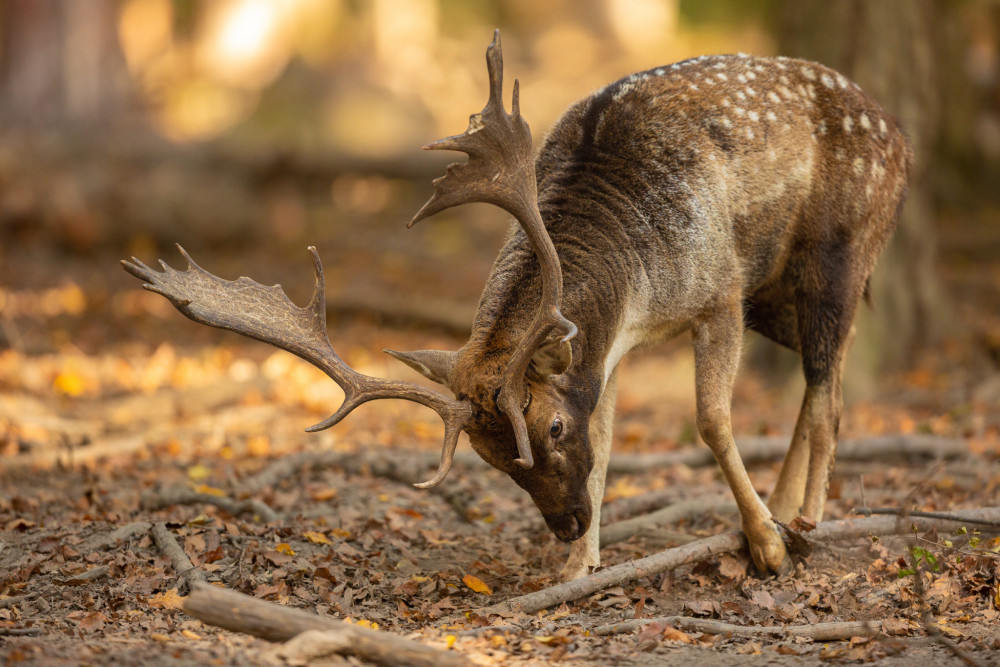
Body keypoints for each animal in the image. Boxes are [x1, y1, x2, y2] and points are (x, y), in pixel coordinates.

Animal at [125, 32, 916, 580]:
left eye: (552, 426)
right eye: (491, 457)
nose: (564, 525)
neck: (640, 283)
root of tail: (902, 136)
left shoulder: (719, 288)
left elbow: (712, 420)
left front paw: (766, 549)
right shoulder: (616, 345)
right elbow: (611, 440)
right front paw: (580, 566)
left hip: (842, 254)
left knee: (829, 389)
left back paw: (803, 520)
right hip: (775, 301)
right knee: (826, 379)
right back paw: (786, 509)